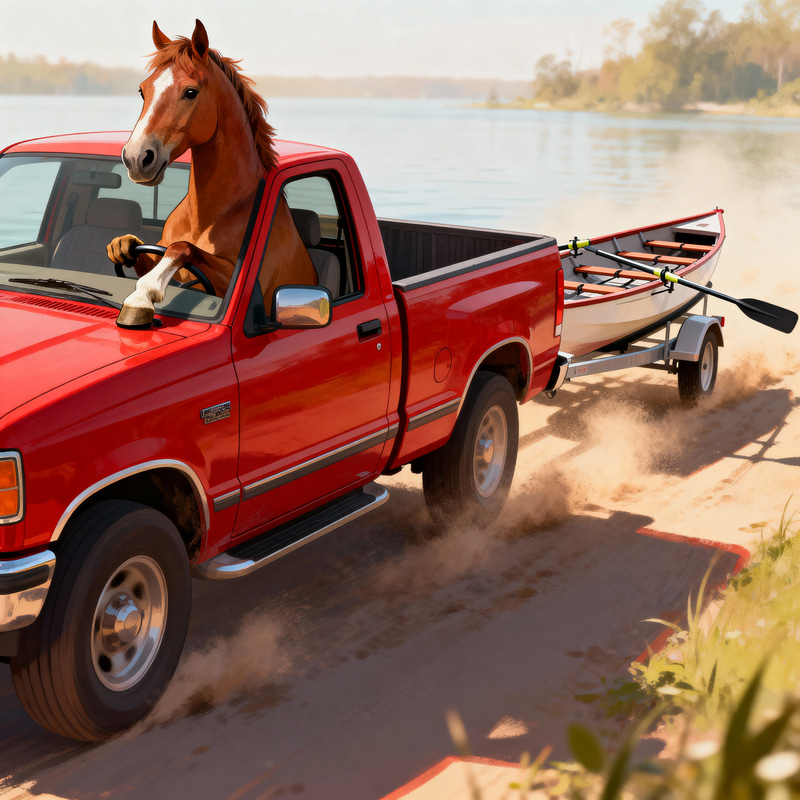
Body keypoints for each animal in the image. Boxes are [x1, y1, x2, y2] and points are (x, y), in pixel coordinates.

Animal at [108, 19, 317, 328]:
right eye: (142, 91)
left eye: (190, 92)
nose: (136, 158)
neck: (208, 219)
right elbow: (133, 247)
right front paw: (121, 246)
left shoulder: (236, 280)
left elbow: (182, 247)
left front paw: (141, 298)